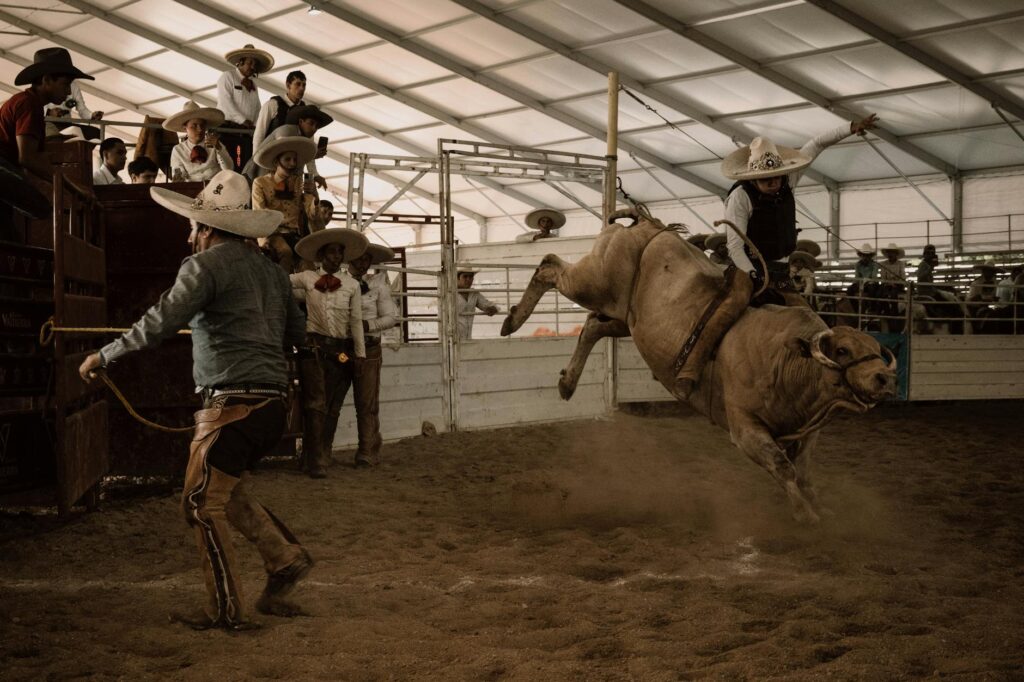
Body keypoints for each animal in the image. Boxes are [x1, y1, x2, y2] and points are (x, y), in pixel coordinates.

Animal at [503, 209, 897, 522]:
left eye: (876, 349)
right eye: (843, 350)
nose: (884, 377)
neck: (788, 360)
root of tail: (646, 224)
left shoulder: (807, 431)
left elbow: (802, 471)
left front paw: (819, 506)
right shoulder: (745, 429)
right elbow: (783, 467)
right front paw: (806, 515)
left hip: (625, 318)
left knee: (591, 327)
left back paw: (567, 382)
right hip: (594, 282)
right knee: (550, 266)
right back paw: (513, 320)